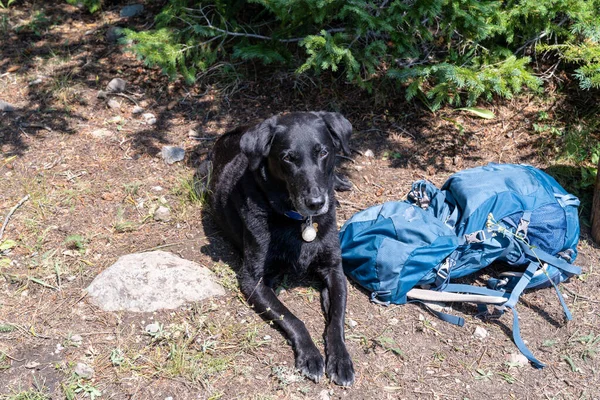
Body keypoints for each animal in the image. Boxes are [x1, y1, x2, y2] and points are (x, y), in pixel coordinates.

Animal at [206, 111, 356, 386]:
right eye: (287, 158)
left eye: (323, 152)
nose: (316, 203)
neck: (298, 221)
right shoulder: (253, 280)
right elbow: (293, 319)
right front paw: (310, 356)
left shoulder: (334, 270)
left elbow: (337, 319)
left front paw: (341, 360)